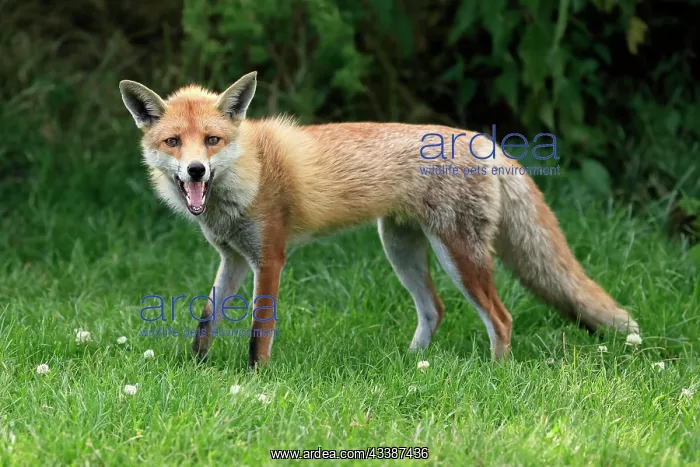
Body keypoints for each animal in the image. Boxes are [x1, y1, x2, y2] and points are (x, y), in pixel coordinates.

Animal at [119, 71, 640, 367]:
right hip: (401, 247)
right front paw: (196, 369)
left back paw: (496, 374)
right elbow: (206, 319)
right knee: (435, 309)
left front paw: (255, 380)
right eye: (173, 142)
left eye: (211, 140)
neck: (250, 169)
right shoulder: (233, 258)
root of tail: (484, 140)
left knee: (501, 317)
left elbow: (258, 329)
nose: (195, 170)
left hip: (458, 254)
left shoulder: (270, 257)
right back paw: (412, 366)